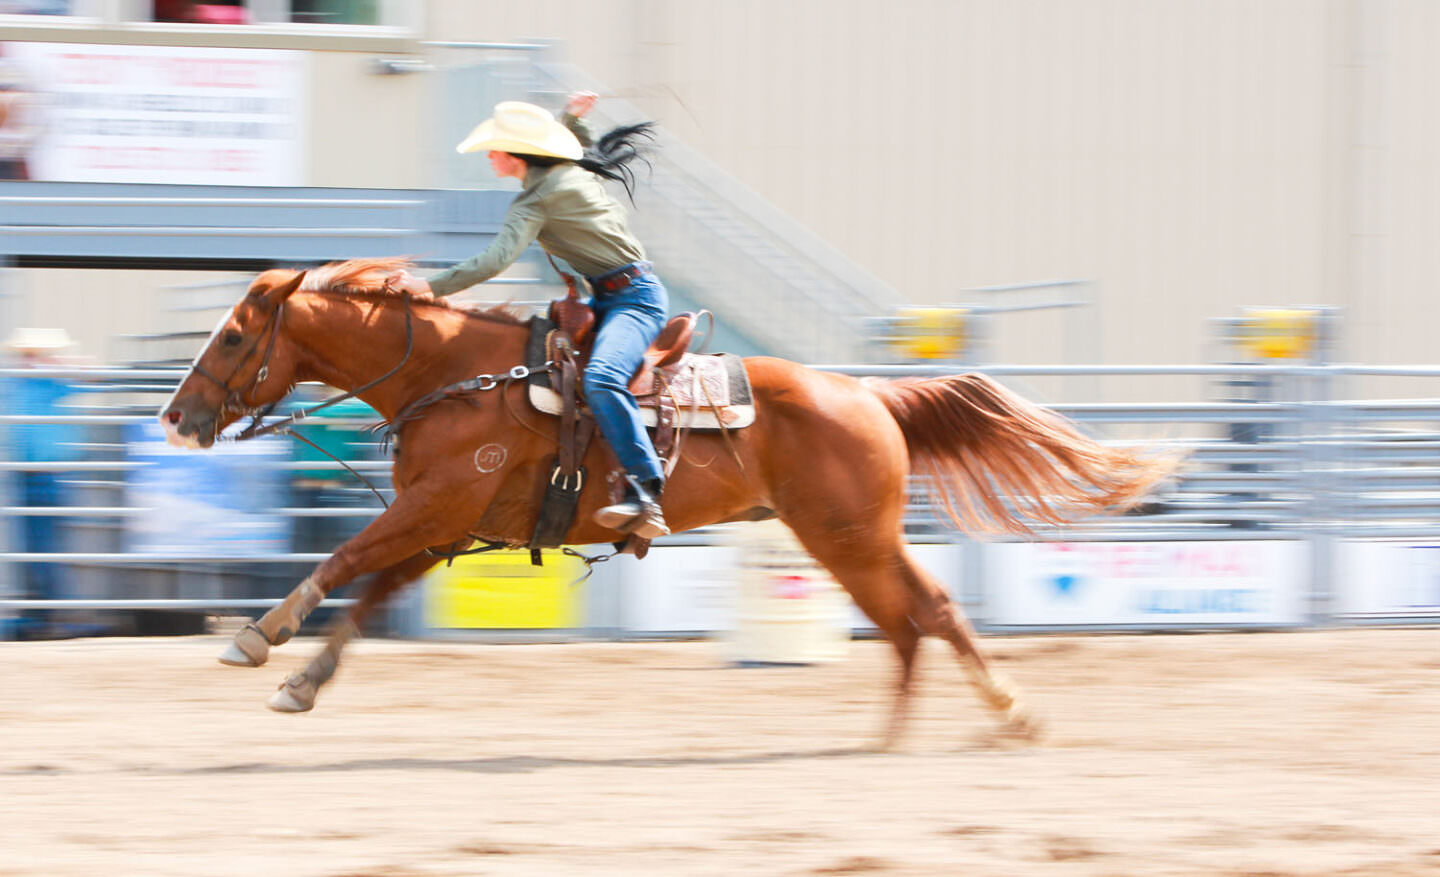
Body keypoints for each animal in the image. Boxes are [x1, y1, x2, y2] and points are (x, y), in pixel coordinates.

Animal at [163, 256, 1169, 743]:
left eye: (235, 334)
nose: (176, 416)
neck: (457, 375)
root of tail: (871, 395)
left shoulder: (432, 508)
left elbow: (341, 560)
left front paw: (258, 637)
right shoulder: (449, 525)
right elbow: (368, 598)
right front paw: (300, 681)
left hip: (851, 537)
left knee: (922, 614)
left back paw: (965, 721)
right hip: (850, 538)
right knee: (922, 616)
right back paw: (927, 729)